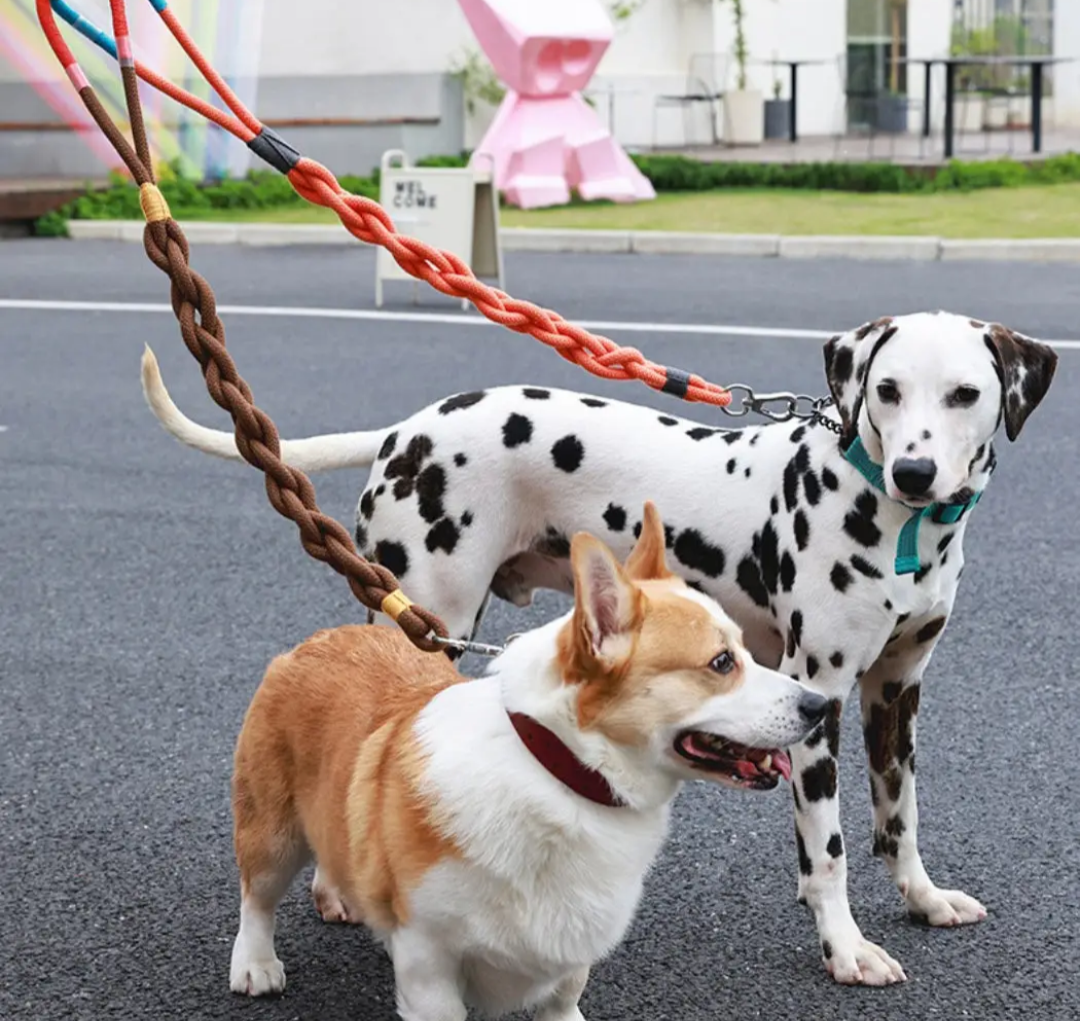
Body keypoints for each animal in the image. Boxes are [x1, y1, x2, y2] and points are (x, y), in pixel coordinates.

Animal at [232, 503, 829, 1019]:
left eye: (747, 652)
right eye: (722, 663)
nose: (821, 706)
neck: (560, 774)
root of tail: (321, 638)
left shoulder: (570, 955)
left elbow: (563, 999)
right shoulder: (429, 962)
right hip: (271, 831)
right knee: (258, 894)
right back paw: (256, 965)